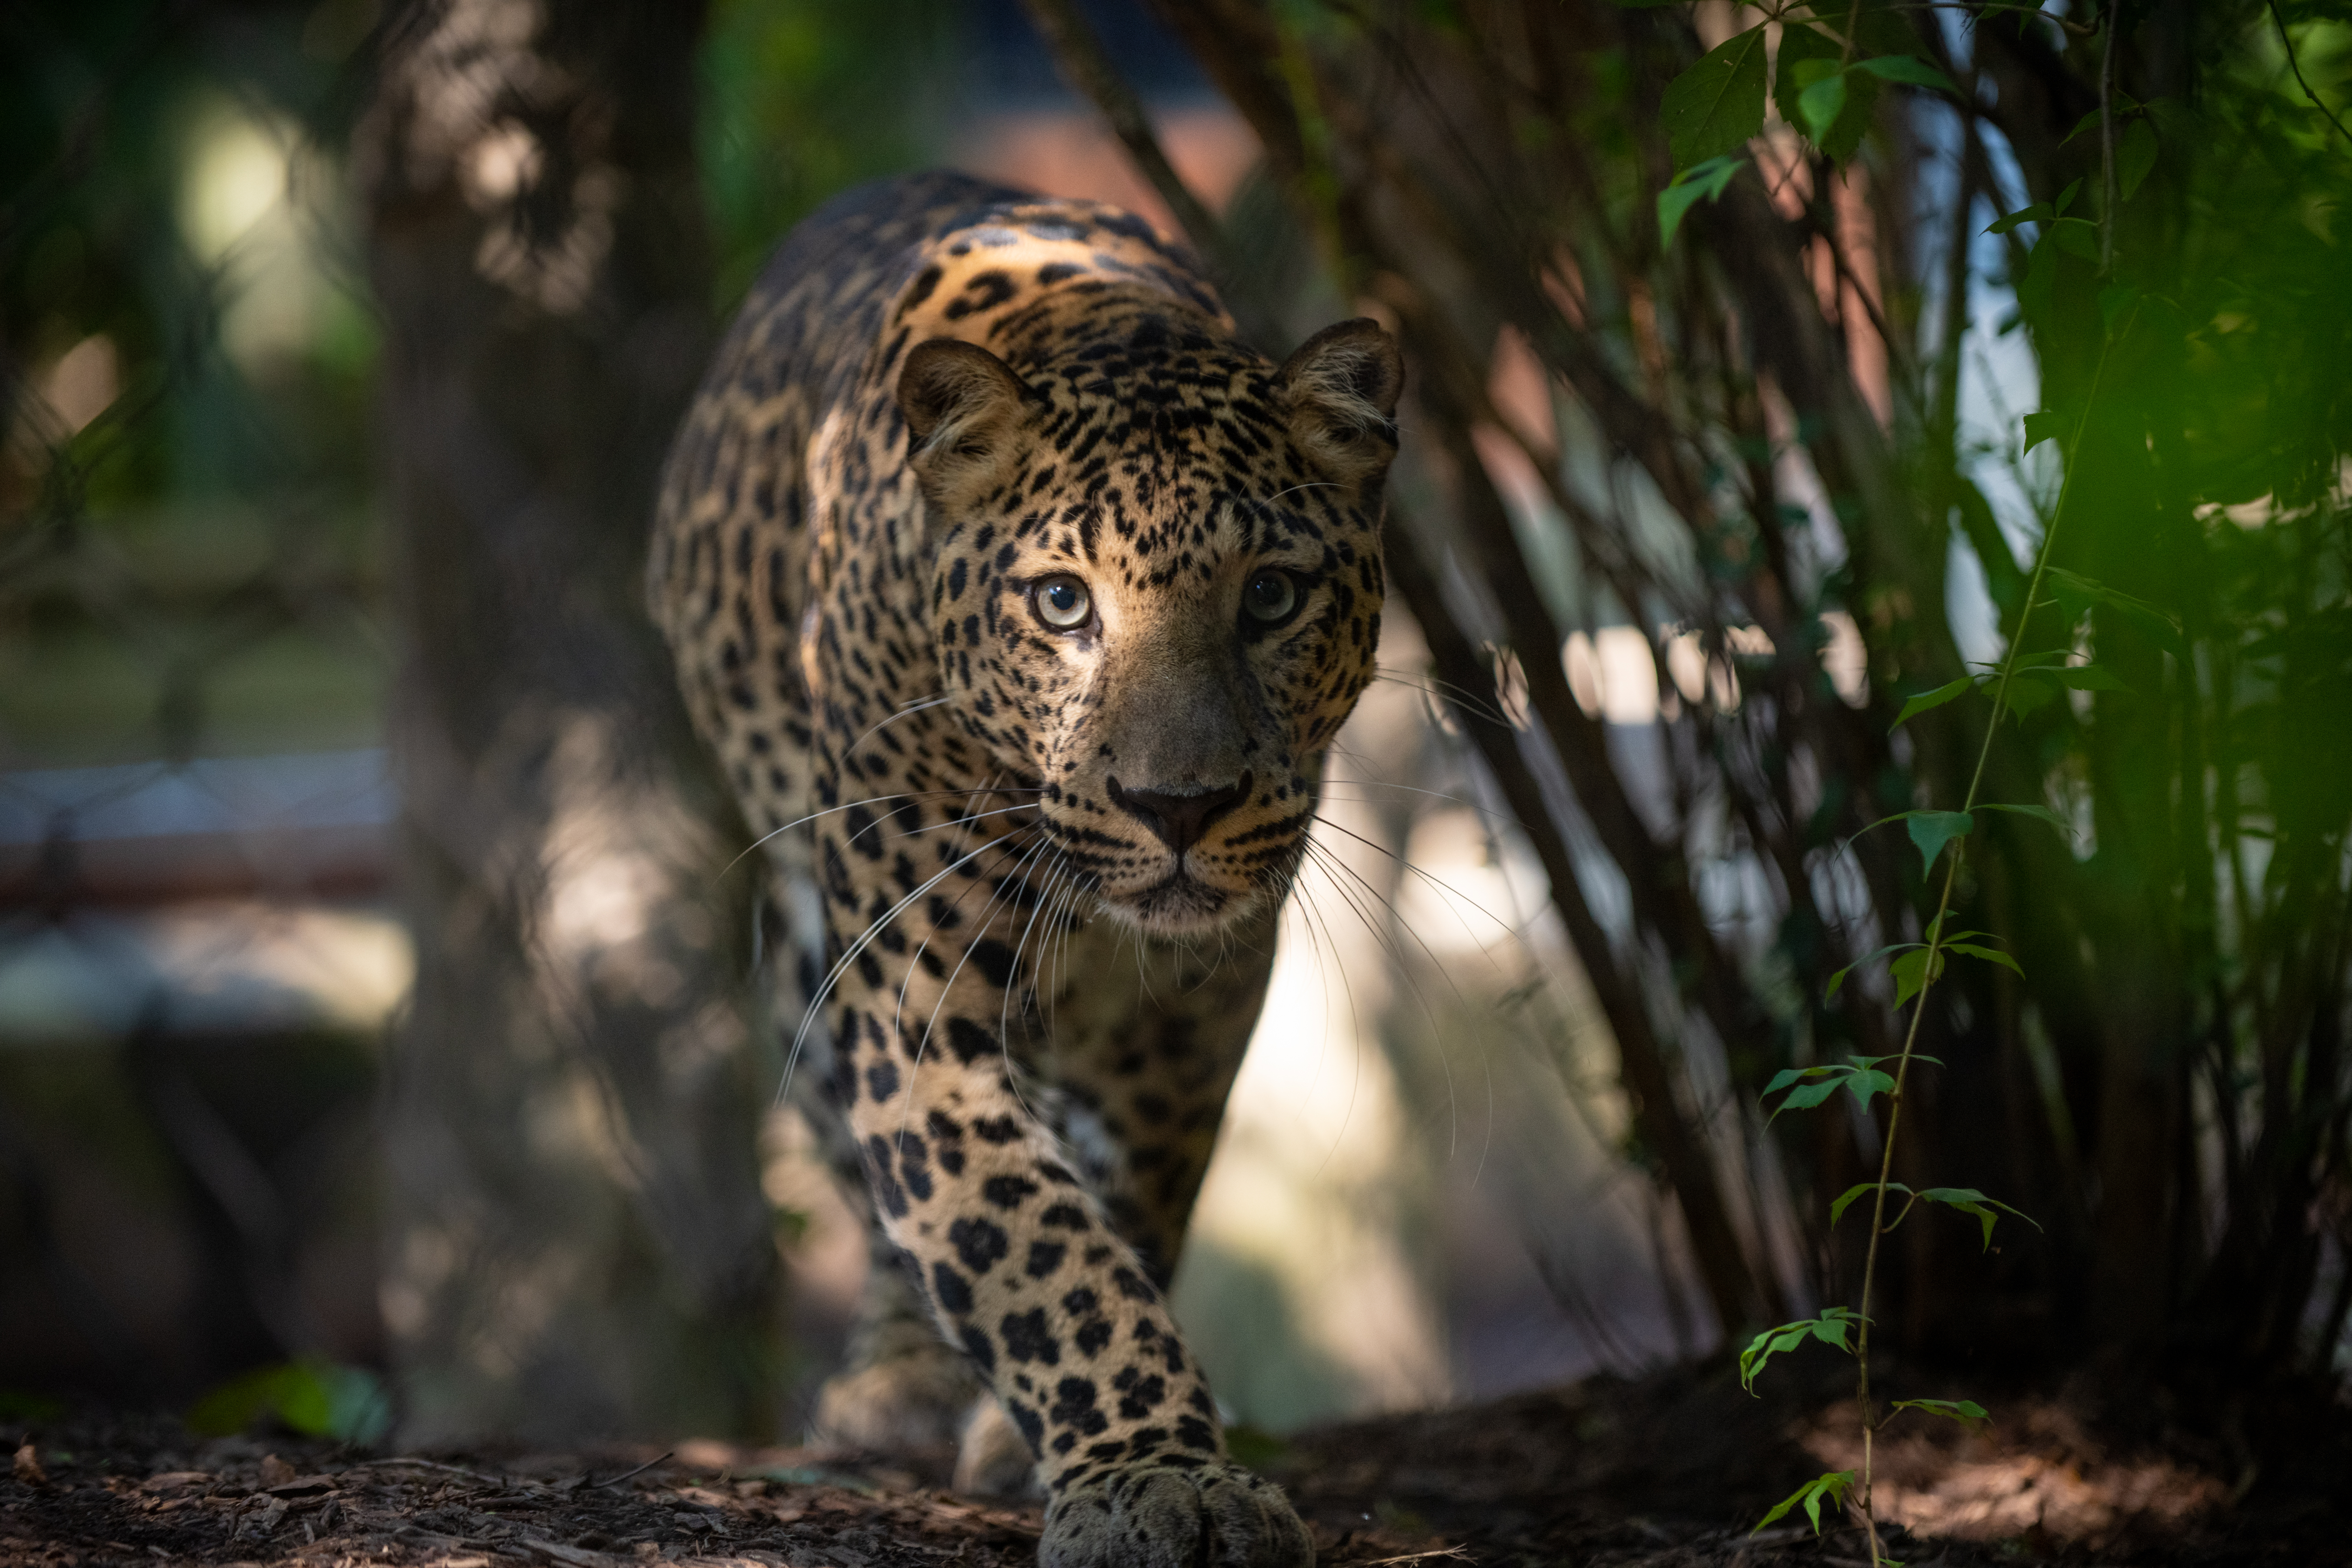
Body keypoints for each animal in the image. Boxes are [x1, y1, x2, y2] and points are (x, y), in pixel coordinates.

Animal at [650, 169, 1401, 1567]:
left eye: (1271, 598)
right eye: (1062, 604)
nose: (1178, 806)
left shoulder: (1197, 998)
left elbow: (1125, 1201)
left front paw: (1089, 1444)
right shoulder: (914, 999)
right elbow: (1025, 1244)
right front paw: (1153, 1478)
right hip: (805, 970)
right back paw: (899, 1381)